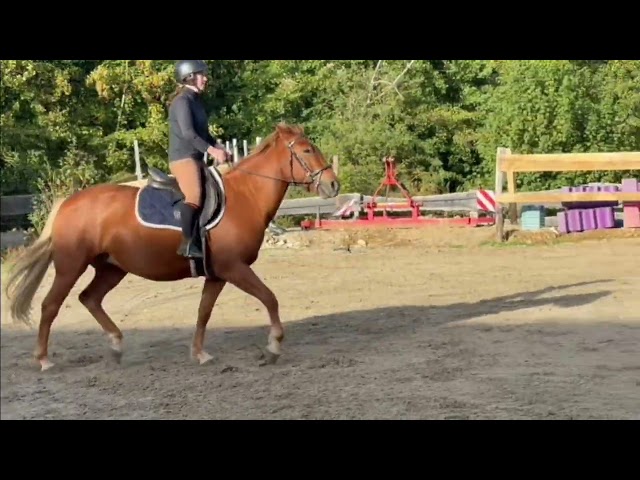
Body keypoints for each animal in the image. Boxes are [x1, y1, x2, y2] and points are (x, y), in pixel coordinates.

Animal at [3, 123, 341, 371]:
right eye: (307, 149)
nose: (333, 185)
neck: (244, 196)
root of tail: (68, 203)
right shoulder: (235, 268)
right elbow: (269, 298)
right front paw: (273, 346)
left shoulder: (217, 274)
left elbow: (204, 311)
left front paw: (199, 353)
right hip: (71, 266)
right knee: (50, 306)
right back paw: (43, 359)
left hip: (111, 268)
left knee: (90, 298)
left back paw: (116, 345)